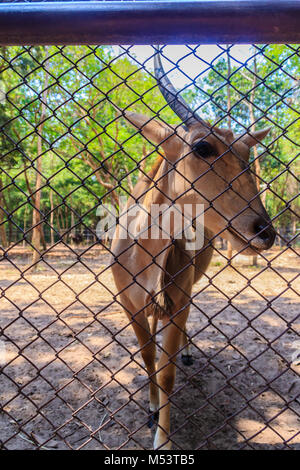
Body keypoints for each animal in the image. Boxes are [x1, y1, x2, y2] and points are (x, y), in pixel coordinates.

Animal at [109, 49, 274, 450]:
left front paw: (162, 439)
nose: (265, 231)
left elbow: (166, 373)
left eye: (247, 153)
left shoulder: (178, 297)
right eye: (203, 146)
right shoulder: (129, 302)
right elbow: (148, 356)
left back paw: (185, 352)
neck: (143, 256)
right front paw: (151, 408)